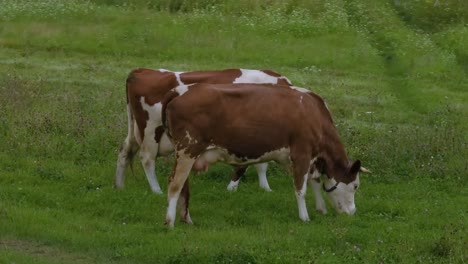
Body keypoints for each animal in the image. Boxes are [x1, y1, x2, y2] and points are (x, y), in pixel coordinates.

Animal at [114, 68, 292, 194]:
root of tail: (142, 71)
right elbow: (246, 165)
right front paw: (232, 188)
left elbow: (261, 164)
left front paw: (265, 188)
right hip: (150, 131)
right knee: (147, 159)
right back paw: (156, 190)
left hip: (136, 130)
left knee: (125, 151)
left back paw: (119, 186)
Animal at [163, 83, 364, 228]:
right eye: (355, 186)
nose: (353, 212)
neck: (313, 111)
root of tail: (180, 91)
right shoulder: (301, 154)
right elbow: (300, 188)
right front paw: (304, 217)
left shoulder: (312, 159)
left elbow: (313, 182)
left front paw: (321, 209)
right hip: (187, 149)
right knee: (175, 184)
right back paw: (170, 222)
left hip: (186, 153)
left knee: (183, 186)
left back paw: (186, 219)